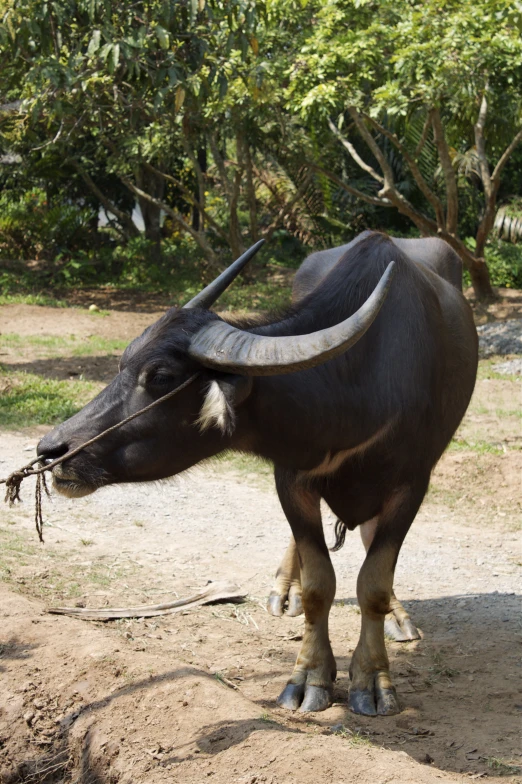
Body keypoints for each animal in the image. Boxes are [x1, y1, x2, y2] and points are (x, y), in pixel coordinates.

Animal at [36, 231, 476, 716]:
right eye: (123, 363)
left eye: (162, 376)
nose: (51, 449)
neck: (358, 383)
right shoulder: (290, 477)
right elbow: (320, 583)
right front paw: (308, 676)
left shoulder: (412, 484)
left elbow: (374, 583)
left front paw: (374, 680)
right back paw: (286, 590)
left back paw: (397, 614)